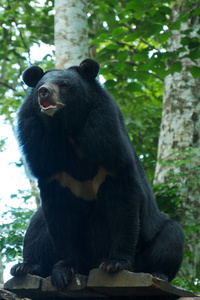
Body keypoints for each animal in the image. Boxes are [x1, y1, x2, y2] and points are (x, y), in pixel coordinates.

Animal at [11, 58, 184, 288]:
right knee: (36, 226)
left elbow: (124, 204)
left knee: (172, 236)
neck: (67, 132)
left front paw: (115, 263)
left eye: (64, 84)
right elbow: (58, 216)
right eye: (40, 85)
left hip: (151, 236)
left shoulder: (109, 148)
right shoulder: (45, 160)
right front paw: (63, 270)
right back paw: (25, 267)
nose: (44, 92)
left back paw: (159, 273)